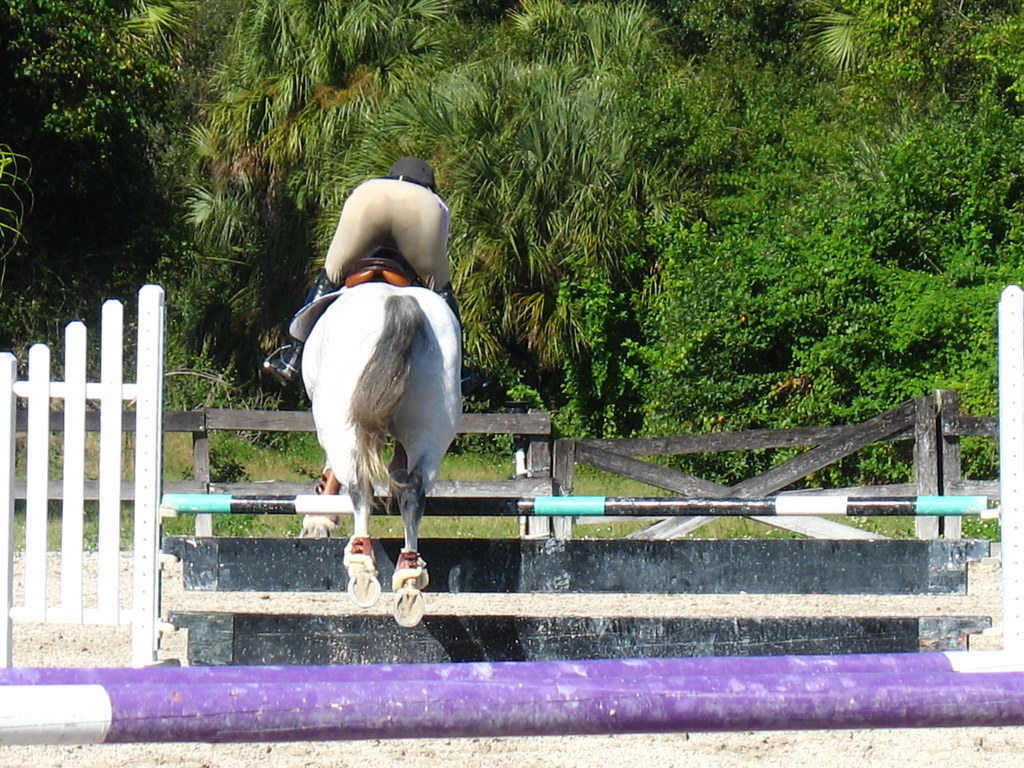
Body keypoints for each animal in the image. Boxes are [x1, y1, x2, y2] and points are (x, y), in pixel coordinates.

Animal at [300, 278, 462, 627]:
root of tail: (398, 300)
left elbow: (333, 473)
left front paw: (319, 521)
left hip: (341, 425)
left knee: (359, 487)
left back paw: (361, 566)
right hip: (430, 428)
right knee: (413, 493)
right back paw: (409, 580)